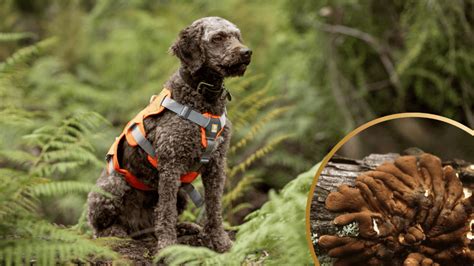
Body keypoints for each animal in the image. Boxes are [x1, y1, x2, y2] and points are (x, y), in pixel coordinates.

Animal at [87, 16, 254, 251]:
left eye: (237, 36)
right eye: (218, 37)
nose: (247, 52)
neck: (203, 98)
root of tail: (138, 226)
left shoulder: (216, 165)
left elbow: (214, 208)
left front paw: (220, 241)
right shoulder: (170, 165)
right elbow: (166, 212)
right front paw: (167, 246)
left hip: (181, 193)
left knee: (158, 222)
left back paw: (183, 227)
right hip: (113, 186)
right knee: (99, 229)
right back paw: (116, 231)